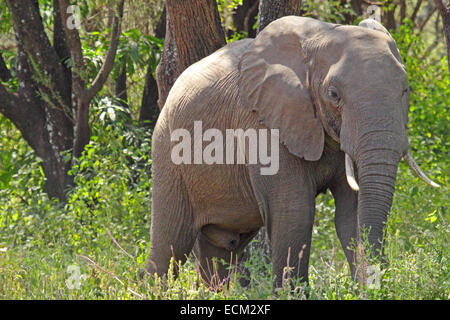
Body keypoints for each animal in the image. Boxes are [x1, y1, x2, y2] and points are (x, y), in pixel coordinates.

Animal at [148, 16, 440, 288]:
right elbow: (295, 212)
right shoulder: (263, 124)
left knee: (220, 249)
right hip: (167, 152)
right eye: (333, 94)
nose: (378, 283)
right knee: (169, 245)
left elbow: (351, 214)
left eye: (406, 89)